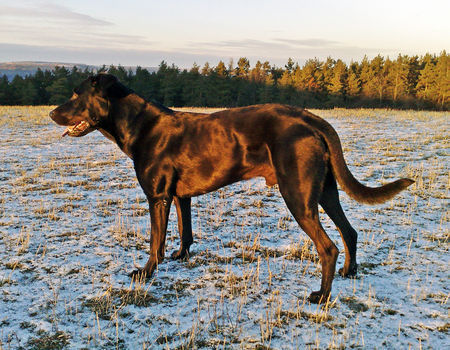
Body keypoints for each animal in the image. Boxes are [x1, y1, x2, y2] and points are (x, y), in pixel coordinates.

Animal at [50, 72, 414, 302]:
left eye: (76, 95)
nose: (52, 113)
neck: (141, 125)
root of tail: (310, 118)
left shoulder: (157, 197)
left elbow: (155, 242)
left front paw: (146, 272)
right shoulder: (179, 197)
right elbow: (185, 231)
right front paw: (181, 257)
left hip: (297, 196)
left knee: (328, 247)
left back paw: (321, 296)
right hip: (324, 191)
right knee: (349, 231)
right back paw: (350, 273)